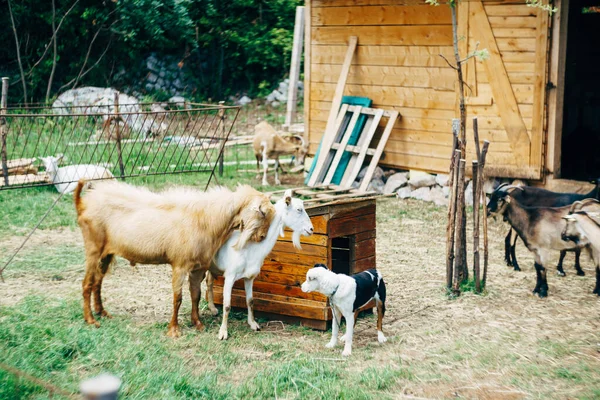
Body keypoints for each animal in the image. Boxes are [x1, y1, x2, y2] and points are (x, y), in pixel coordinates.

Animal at [73, 180, 276, 336]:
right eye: (262, 212)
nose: (261, 237)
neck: (205, 219)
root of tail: (83, 203)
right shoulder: (179, 265)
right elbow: (177, 298)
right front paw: (174, 330)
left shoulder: (198, 267)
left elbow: (195, 295)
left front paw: (198, 323)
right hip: (93, 249)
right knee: (87, 283)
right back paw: (91, 319)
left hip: (106, 253)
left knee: (98, 281)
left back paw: (102, 312)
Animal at [206, 189, 314, 340]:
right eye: (299, 209)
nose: (311, 229)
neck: (251, 248)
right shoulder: (230, 276)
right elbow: (227, 305)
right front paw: (223, 333)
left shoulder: (249, 277)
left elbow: (250, 301)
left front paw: (253, 324)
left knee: (209, 281)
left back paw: (212, 308)